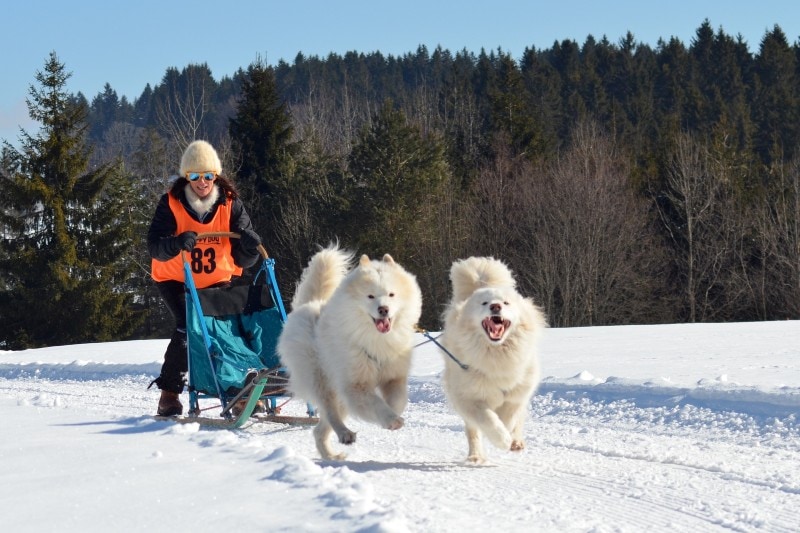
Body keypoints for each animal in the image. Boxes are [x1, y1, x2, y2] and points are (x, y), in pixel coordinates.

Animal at [276, 244, 422, 458]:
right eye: (370, 296)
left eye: (391, 294)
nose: (384, 309)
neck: (376, 339)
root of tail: (308, 305)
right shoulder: (356, 384)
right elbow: (375, 402)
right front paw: (391, 420)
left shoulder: (393, 377)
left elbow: (398, 401)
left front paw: (392, 415)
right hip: (322, 380)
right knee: (330, 412)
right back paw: (344, 433)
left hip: (339, 395)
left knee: (319, 429)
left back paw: (331, 455)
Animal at [438, 256, 552, 462]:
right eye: (484, 303)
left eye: (506, 303)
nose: (495, 306)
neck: (497, 354)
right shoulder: (469, 397)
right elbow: (488, 419)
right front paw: (501, 439)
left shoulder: (517, 394)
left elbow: (510, 418)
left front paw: (509, 439)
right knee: (473, 432)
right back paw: (475, 456)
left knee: (518, 420)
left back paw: (516, 442)